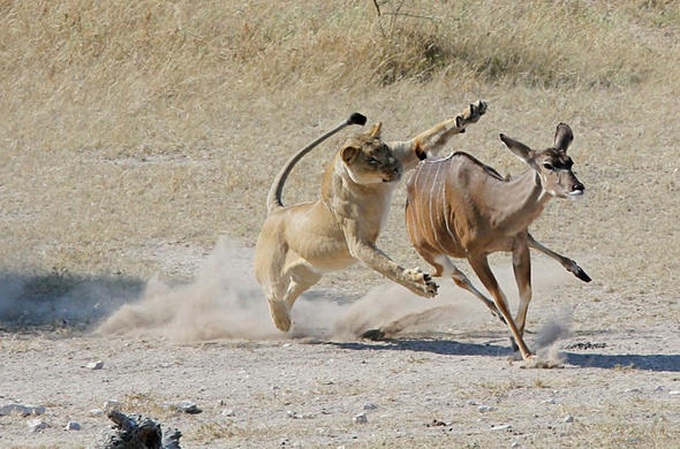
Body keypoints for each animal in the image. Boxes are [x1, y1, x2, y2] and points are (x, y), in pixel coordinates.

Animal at [406, 123, 588, 360]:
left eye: (570, 162)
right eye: (548, 164)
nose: (577, 187)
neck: (495, 207)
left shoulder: (518, 245)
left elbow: (525, 291)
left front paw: (514, 340)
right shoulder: (475, 255)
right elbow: (501, 298)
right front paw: (526, 353)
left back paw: (578, 270)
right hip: (430, 251)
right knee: (453, 275)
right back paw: (422, 280)